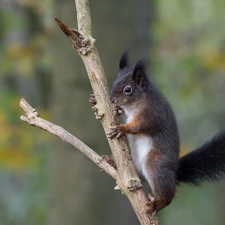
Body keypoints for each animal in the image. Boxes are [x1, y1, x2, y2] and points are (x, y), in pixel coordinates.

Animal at [105, 50, 225, 214]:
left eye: (127, 89)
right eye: (114, 83)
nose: (112, 99)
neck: (138, 101)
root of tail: (175, 171)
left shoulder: (153, 114)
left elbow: (140, 126)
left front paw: (121, 128)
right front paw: (94, 100)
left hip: (156, 165)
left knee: (168, 193)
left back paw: (158, 204)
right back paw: (112, 162)